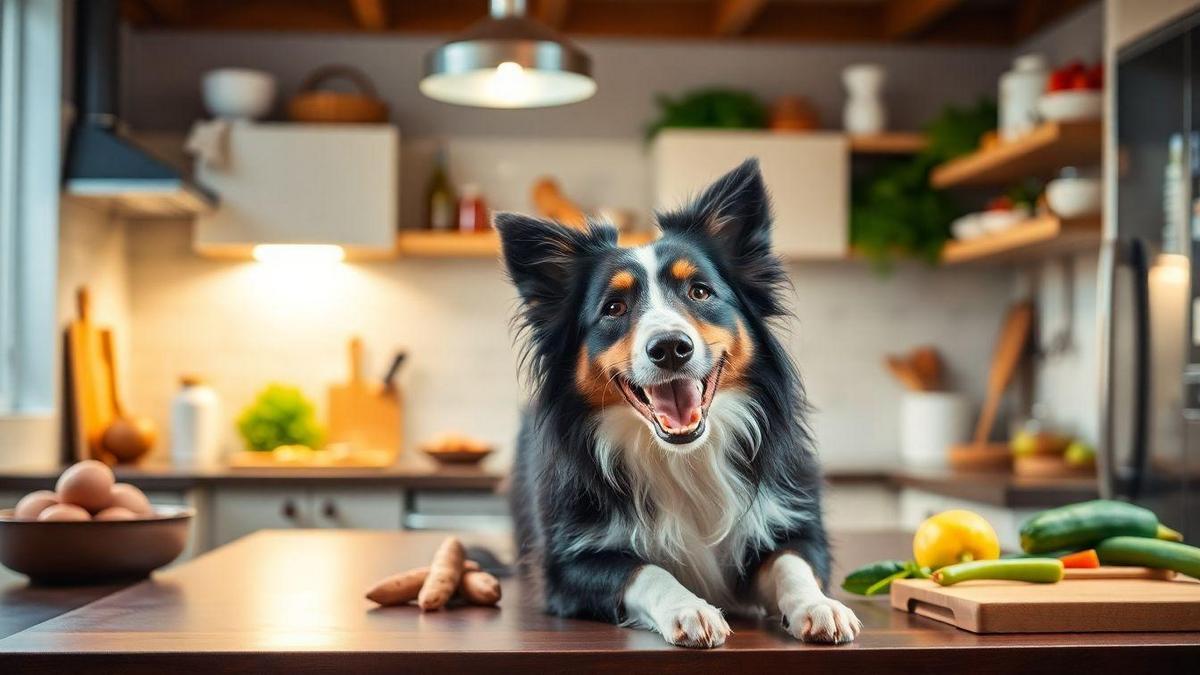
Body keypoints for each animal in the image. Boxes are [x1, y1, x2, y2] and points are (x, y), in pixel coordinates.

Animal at [496, 158, 864, 648]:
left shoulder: (794, 519)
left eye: (700, 292)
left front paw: (820, 605)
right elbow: (645, 569)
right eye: (613, 307)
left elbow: (792, 562)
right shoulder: (567, 564)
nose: (670, 347)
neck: (682, 457)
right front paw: (690, 608)